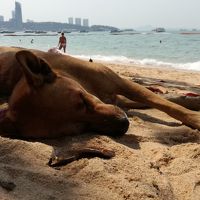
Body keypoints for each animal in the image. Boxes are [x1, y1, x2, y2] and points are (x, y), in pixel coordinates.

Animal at [0, 46, 199, 138]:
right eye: (79, 129)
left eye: (83, 100)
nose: (124, 124)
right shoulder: (117, 100)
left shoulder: (122, 84)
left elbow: (165, 102)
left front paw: (193, 115)